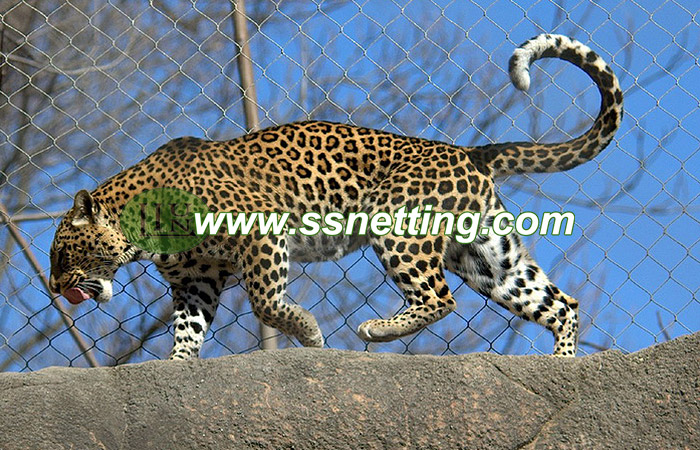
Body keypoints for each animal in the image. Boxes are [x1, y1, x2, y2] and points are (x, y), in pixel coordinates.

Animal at [49, 34, 623, 359]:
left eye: (61, 253)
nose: (55, 288)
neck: (138, 231)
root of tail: (467, 152)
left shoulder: (259, 229)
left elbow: (265, 301)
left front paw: (307, 334)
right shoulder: (196, 280)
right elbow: (187, 333)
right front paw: (178, 371)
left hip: (400, 226)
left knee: (438, 297)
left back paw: (377, 330)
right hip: (486, 256)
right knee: (559, 303)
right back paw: (563, 366)